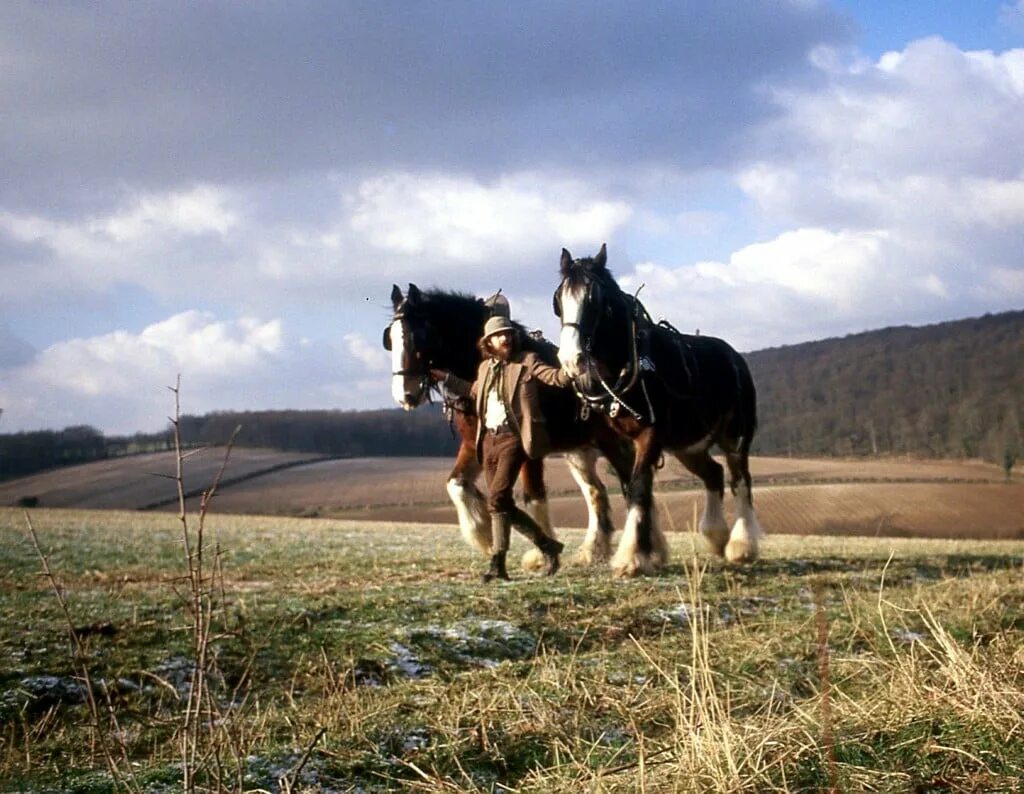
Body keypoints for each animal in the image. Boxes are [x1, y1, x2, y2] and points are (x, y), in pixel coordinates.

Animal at [382, 282, 630, 569]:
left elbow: (534, 495)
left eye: (420, 336)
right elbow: (456, 485)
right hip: (579, 449)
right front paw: (484, 533)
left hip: (611, 442)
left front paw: (540, 554)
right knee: (596, 492)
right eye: (390, 339)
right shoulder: (474, 443)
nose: (405, 395)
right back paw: (594, 549)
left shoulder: (529, 447)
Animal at [552, 244, 761, 573]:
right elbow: (631, 487)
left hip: (735, 437)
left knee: (740, 479)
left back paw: (742, 545)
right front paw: (650, 549)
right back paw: (716, 535)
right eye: (558, 301)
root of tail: (734, 356)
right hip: (689, 446)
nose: (571, 360)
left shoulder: (650, 434)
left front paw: (632, 557)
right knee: (714, 474)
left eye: (596, 300)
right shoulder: (616, 441)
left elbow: (639, 486)